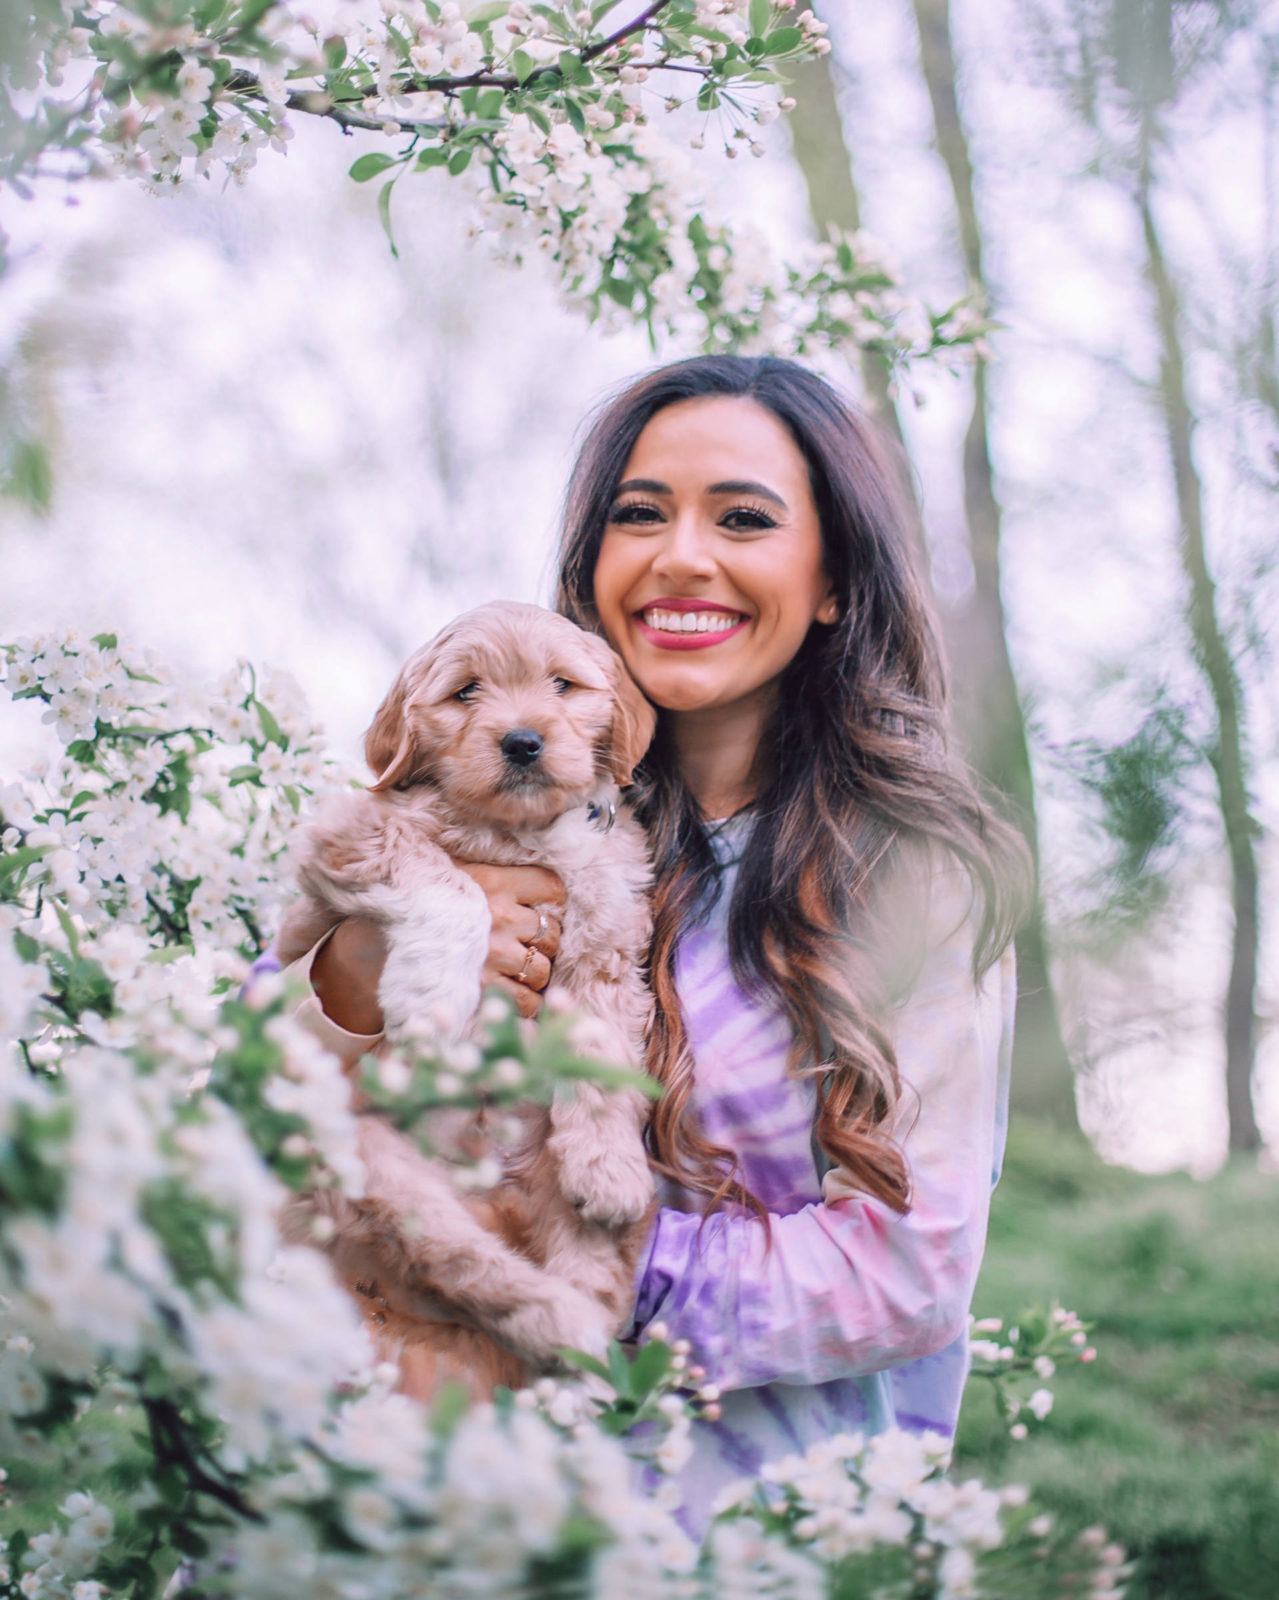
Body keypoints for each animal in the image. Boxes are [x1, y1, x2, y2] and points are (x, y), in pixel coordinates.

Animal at [280, 601, 659, 1401]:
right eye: (466, 693)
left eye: (562, 685)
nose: (522, 741)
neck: (522, 832)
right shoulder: (348, 835)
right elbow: (444, 881)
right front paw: (429, 998)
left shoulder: (608, 931)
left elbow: (601, 1047)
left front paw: (608, 1164)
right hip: (367, 1163)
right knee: (468, 1266)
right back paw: (560, 1329)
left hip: (554, 1192)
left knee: (589, 1268)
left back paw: (580, 1370)